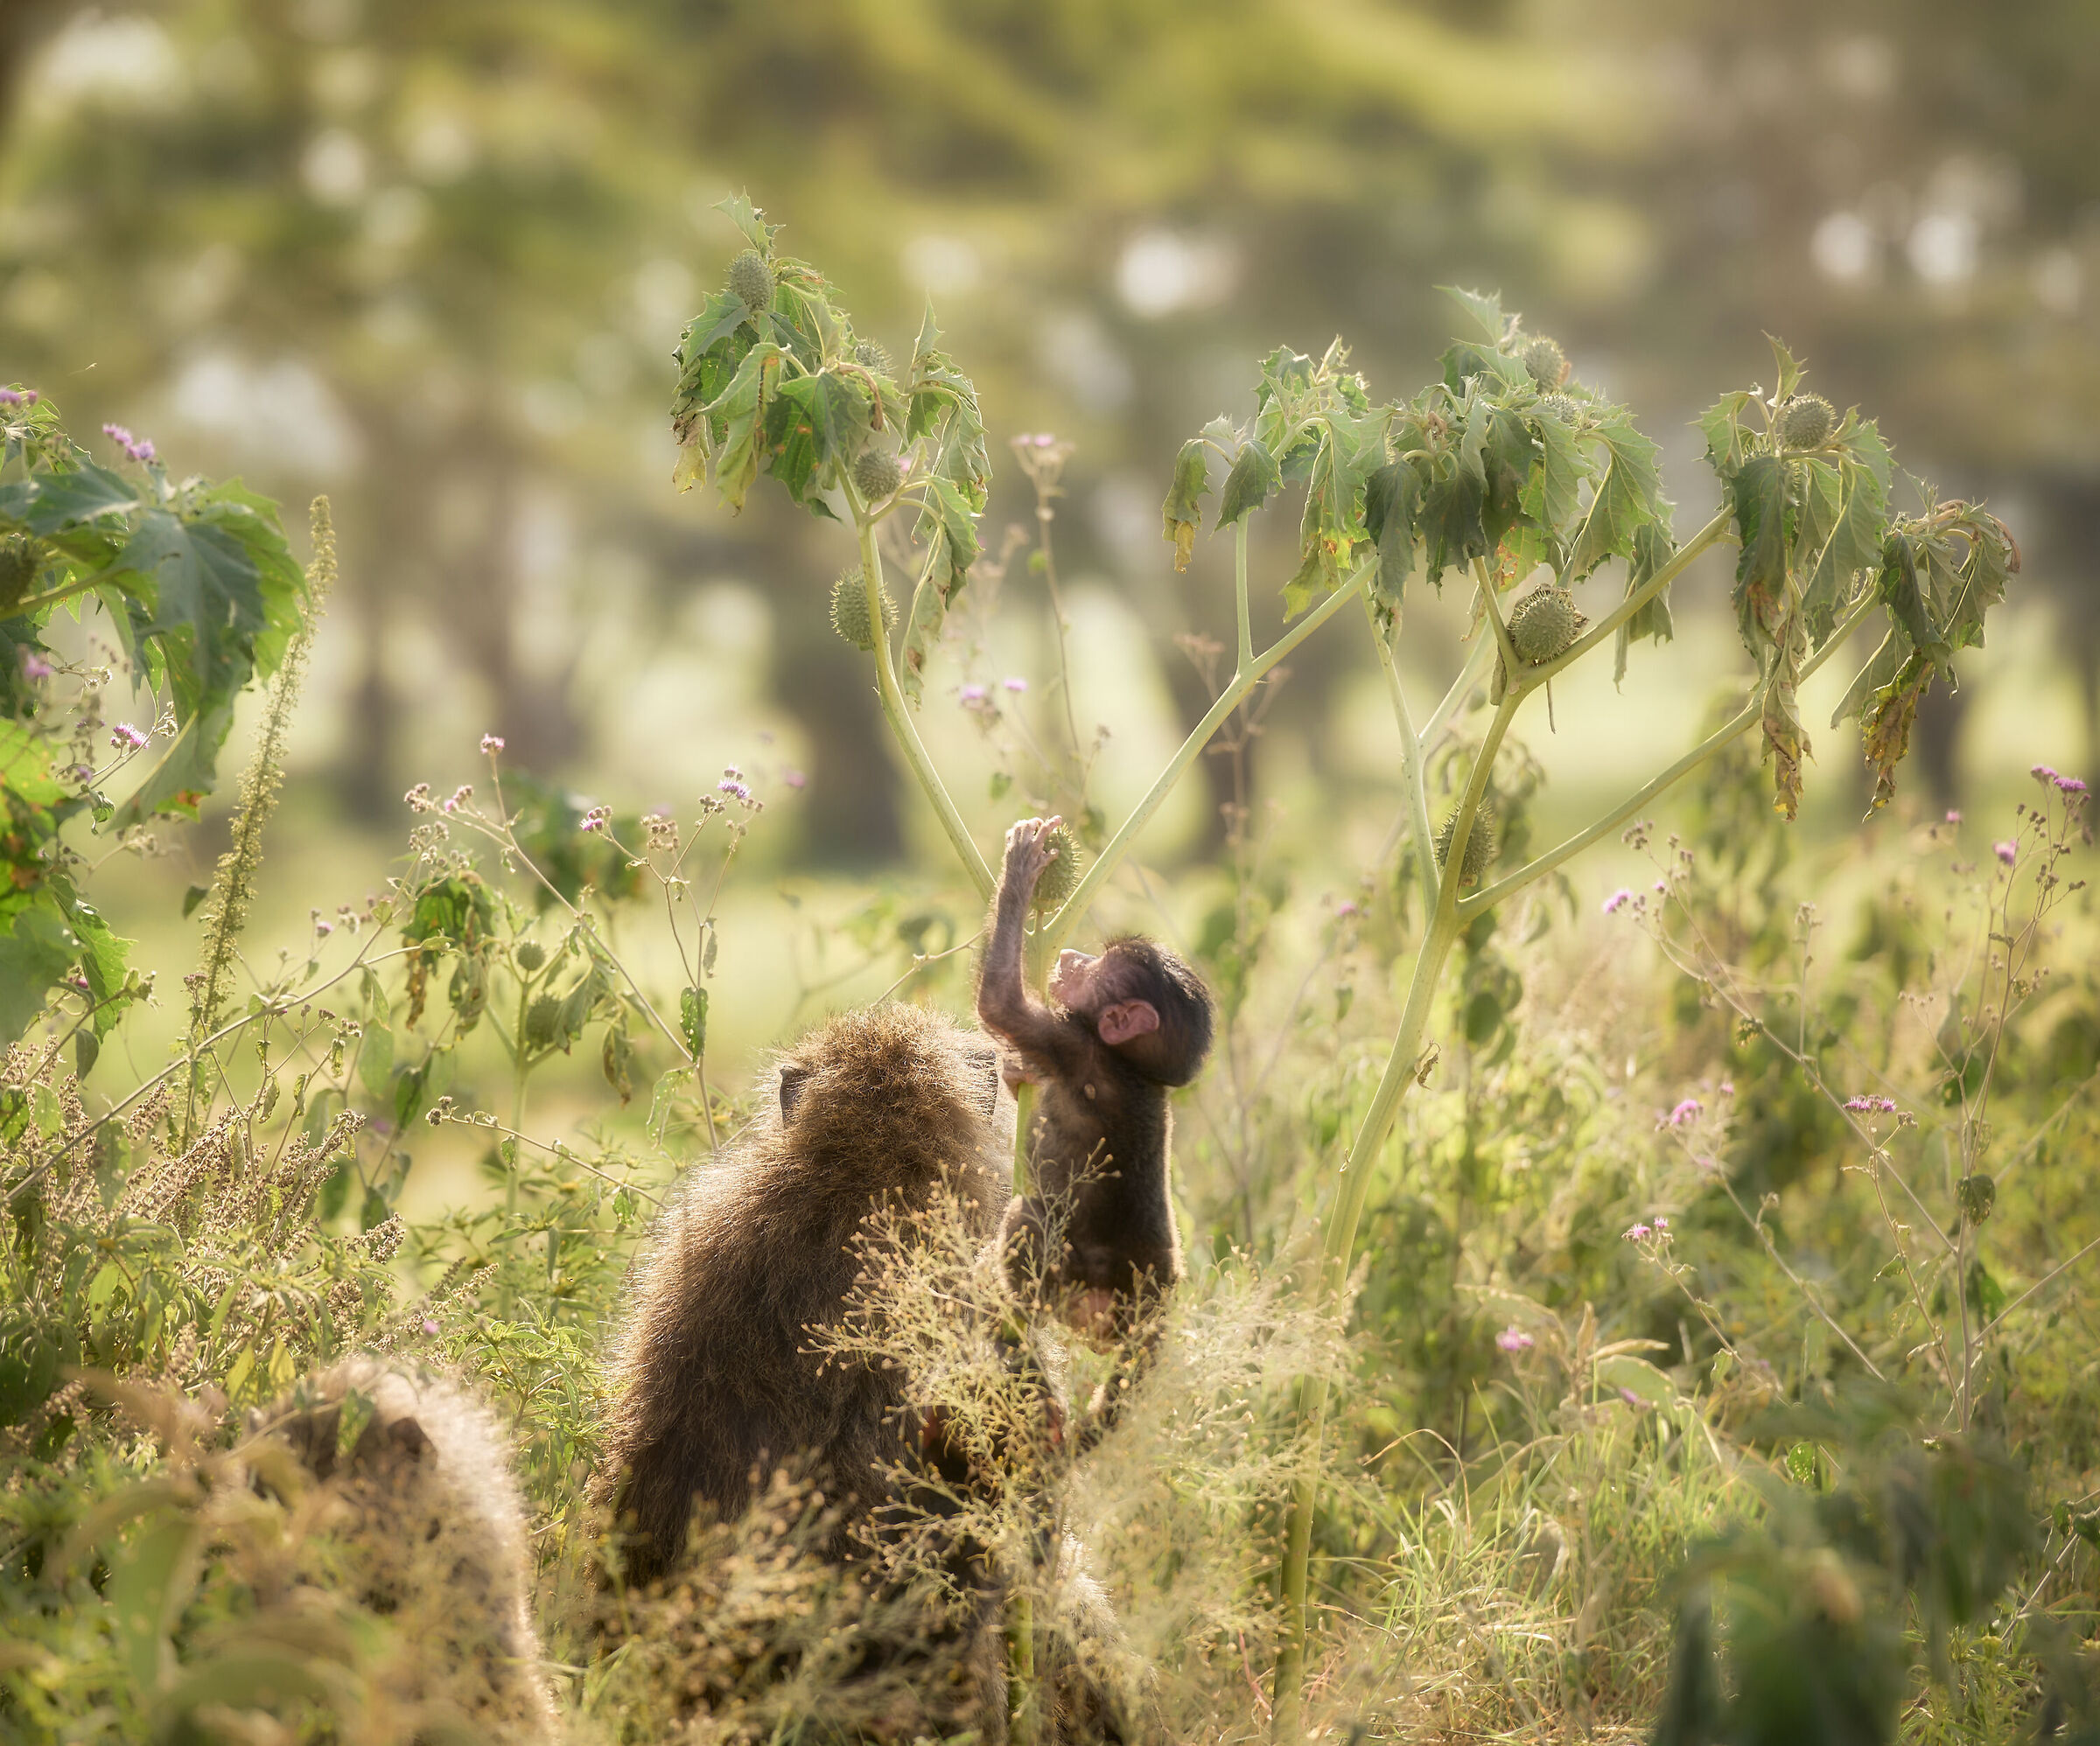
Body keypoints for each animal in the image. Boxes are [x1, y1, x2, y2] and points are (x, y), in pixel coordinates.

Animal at [976, 816, 1216, 1349]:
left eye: (1092, 968)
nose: (1069, 954)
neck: (1132, 1067)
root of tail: (1137, 1305)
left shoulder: (1076, 1046)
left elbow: (1000, 1003)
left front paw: (1020, 870)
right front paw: (1017, 1071)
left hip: (1070, 1281)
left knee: (1028, 1217)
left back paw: (1006, 1315)